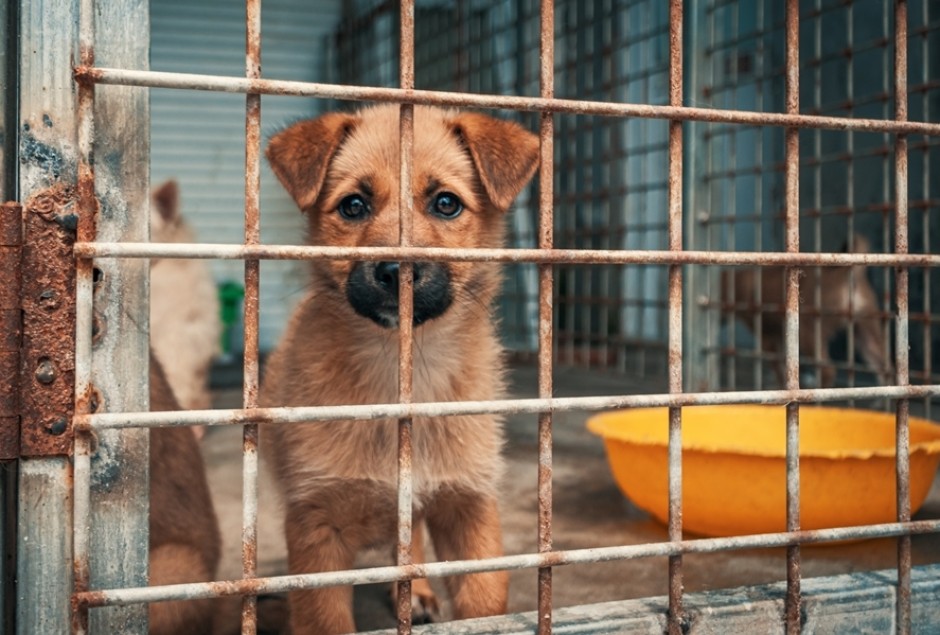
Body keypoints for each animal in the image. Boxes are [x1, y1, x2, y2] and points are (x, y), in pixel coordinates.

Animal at [260, 105, 540, 635]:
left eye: (446, 203)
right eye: (353, 206)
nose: (396, 271)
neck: (401, 372)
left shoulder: (469, 505)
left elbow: (485, 600)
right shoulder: (316, 521)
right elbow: (323, 617)